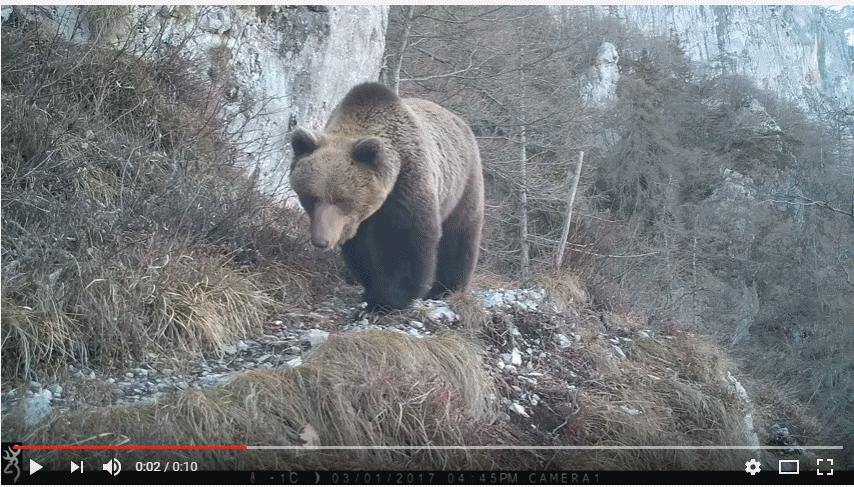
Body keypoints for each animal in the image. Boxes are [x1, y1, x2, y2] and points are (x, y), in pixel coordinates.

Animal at [289, 82, 484, 310]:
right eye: (310, 197)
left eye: (342, 199)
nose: (321, 241)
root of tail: (459, 121)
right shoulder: (355, 222)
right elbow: (361, 250)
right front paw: (370, 289)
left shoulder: (406, 186)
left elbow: (401, 242)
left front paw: (387, 300)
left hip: (462, 182)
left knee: (459, 233)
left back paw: (447, 288)